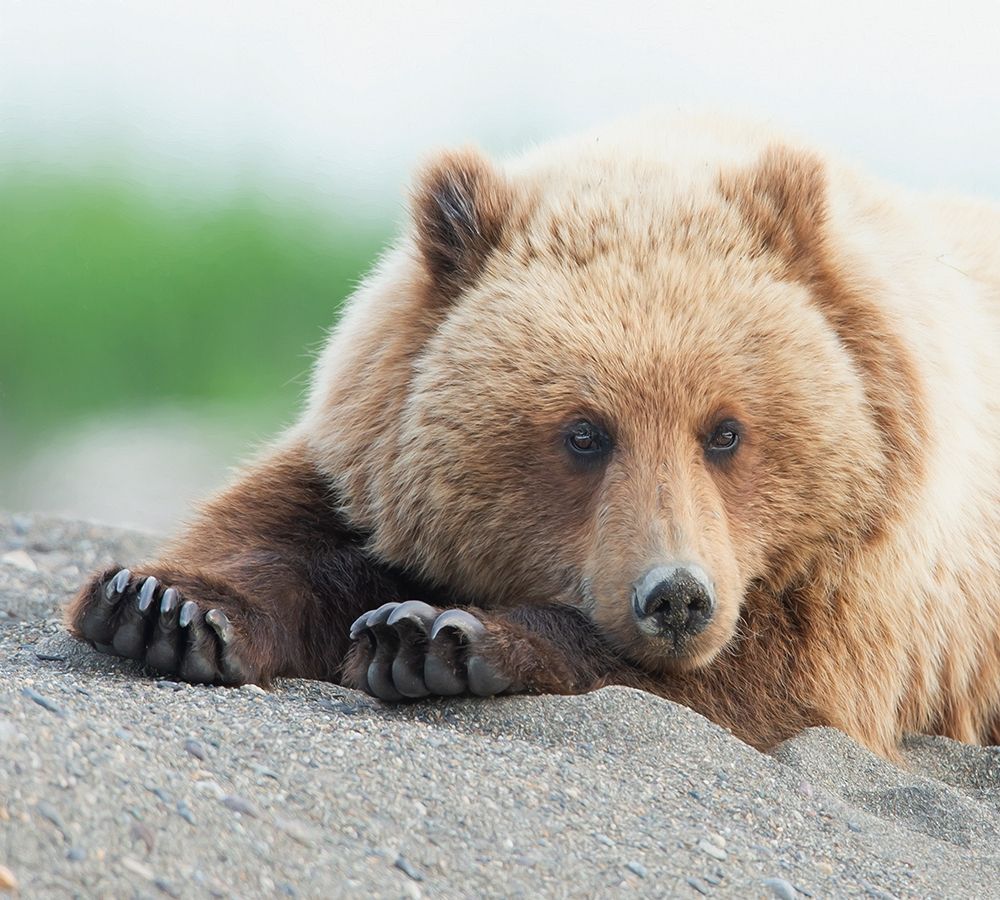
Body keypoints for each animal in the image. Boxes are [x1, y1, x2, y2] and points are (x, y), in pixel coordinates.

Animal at [66, 114, 1000, 761]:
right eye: (585, 433)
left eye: (726, 430)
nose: (676, 597)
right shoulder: (369, 449)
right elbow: (286, 534)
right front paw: (167, 607)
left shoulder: (870, 586)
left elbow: (765, 685)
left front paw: (435, 637)